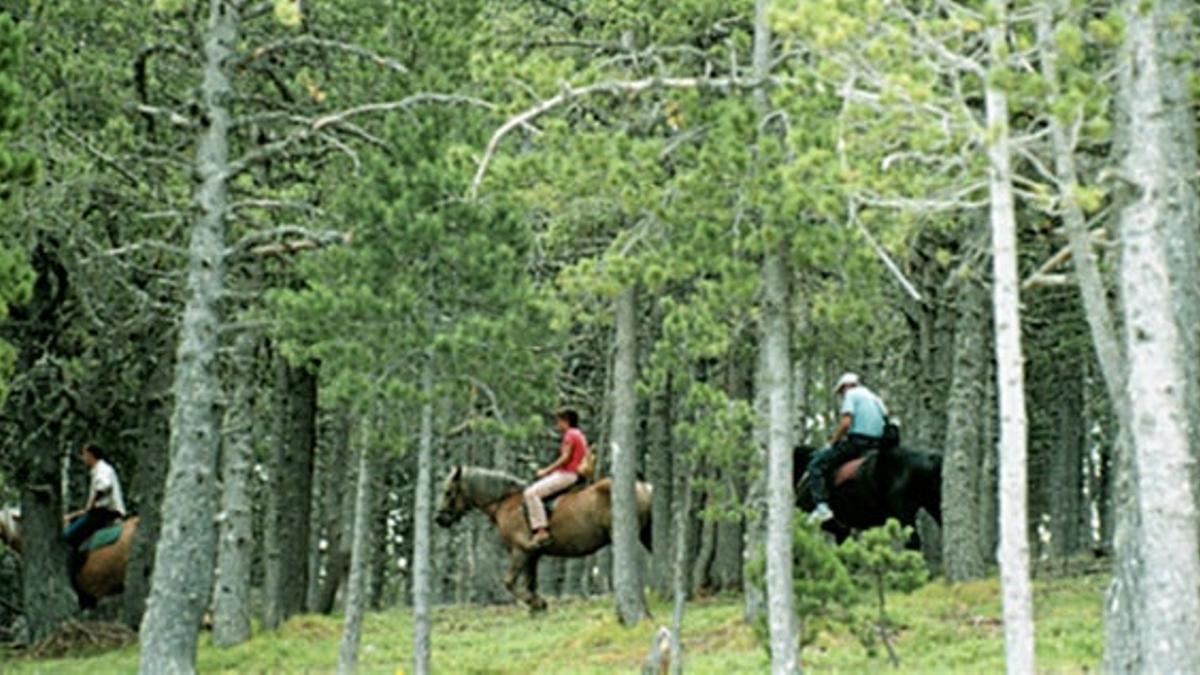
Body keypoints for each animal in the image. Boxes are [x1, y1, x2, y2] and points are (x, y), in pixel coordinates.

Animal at [436, 466, 652, 612]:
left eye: (448, 492)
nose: (440, 519)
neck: (506, 503)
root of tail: (644, 486)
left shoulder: (520, 551)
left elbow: (509, 582)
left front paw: (536, 603)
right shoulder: (533, 555)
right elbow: (530, 583)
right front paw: (536, 607)